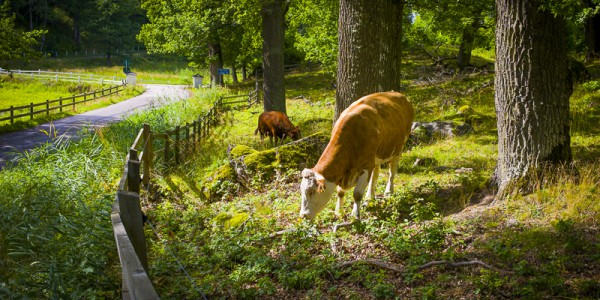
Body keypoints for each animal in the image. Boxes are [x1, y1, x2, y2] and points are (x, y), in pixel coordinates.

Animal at [298, 91, 412, 220]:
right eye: (302, 191)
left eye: (311, 191)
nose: (303, 215)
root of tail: (398, 94)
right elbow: (340, 192)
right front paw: (339, 211)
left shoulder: (366, 166)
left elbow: (357, 194)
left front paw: (355, 215)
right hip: (376, 157)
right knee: (375, 175)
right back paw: (370, 197)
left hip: (399, 148)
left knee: (392, 172)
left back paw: (388, 192)